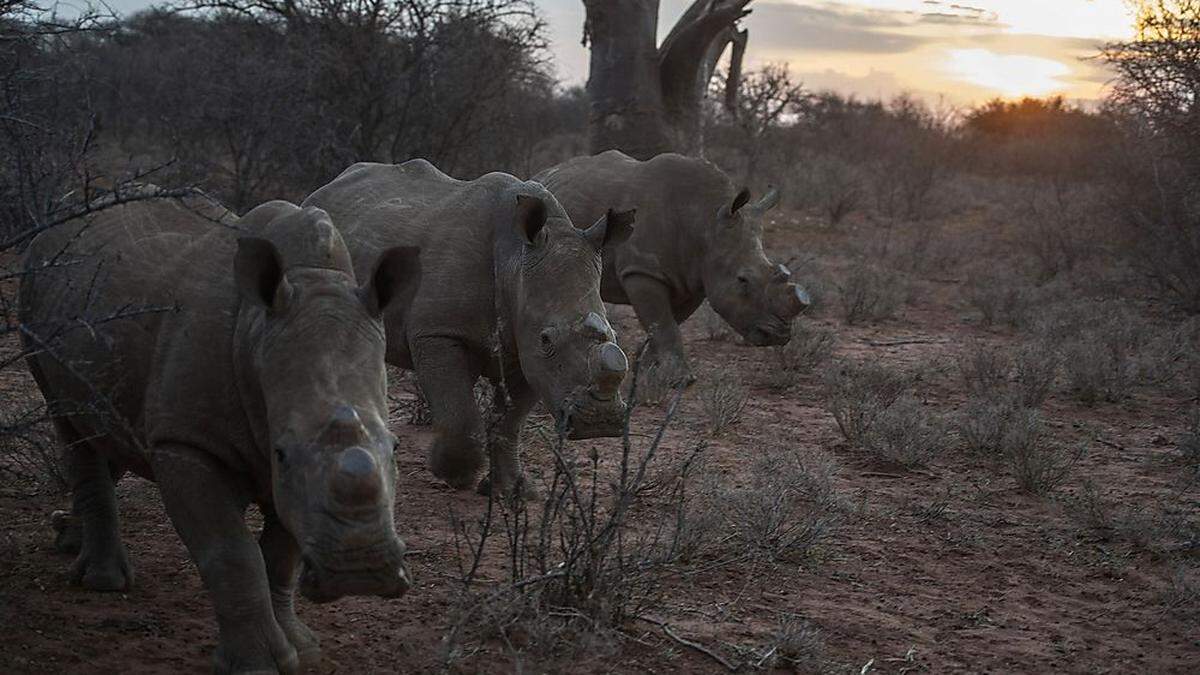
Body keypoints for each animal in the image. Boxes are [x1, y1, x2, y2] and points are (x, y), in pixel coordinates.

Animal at [18, 193, 422, 667]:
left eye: (395, 447)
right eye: (283, 453)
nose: (360, 573)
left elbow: (281, 554)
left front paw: (301, 649)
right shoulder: (187, 443)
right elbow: (232, 552)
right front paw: (259, 664)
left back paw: (67, 539)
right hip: (30, 295)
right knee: (70, 425)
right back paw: (104, 582)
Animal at [304, 157, 633, 494]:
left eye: (615, 335)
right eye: (546, 339)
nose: (600, 422)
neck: (514, 261)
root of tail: (324, 188)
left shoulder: (527, 350)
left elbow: (511, 421)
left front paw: (510, 490)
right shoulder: (439, 332)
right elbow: (460, 416)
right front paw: (453, 474)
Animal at [537, 150, 811, 381]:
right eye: (742, 280)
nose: (779, 335)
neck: (705, 222)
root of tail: (543, 173)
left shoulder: (694, 279)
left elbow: (667, 323)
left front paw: (647, 368)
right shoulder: (643, 270)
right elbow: (664, 324)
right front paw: (679, 379)